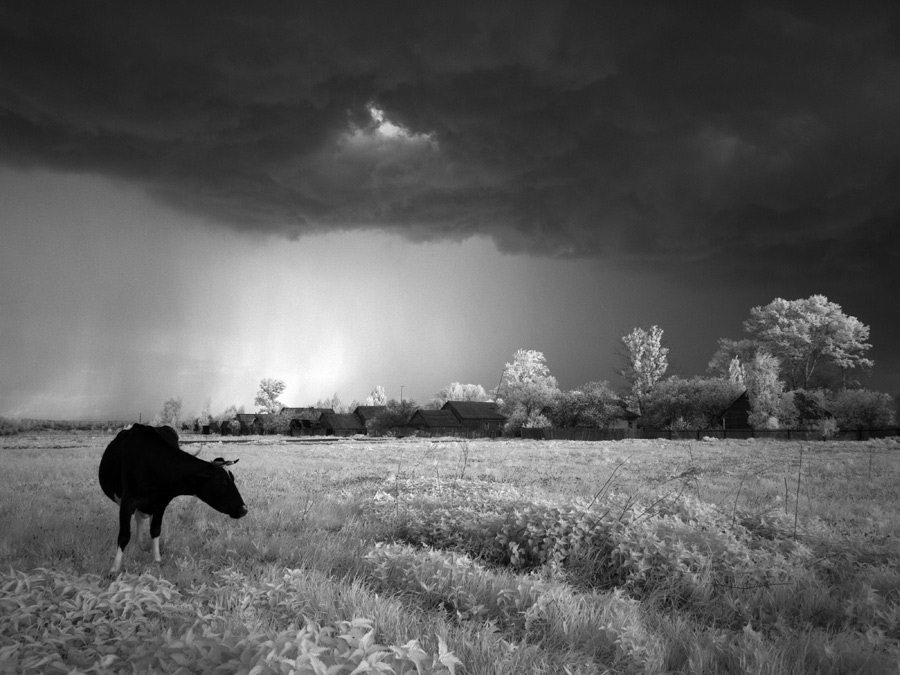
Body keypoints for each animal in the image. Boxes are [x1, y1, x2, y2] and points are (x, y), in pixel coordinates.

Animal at [97, 426, 250, 572]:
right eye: (223, 482)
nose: (244, 509)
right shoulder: (127, 502)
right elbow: (124, 535)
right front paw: (115, 568)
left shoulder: (161, 503)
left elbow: (155, 529)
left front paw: (157, 559)